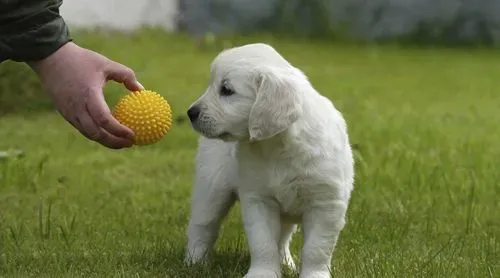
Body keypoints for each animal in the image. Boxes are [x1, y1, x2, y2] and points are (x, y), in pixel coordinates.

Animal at [185, 43, 356, 278]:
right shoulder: (259, 199)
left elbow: (316, 248)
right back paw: (195, 262)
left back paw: (285, 263)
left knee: (283, 238)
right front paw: (262, 273)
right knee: (203, 225)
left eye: (227, 90)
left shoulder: (326, 203)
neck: (278, 146)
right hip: (212, 186)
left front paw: (314, 274)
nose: (190, 113)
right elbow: (263, 242)